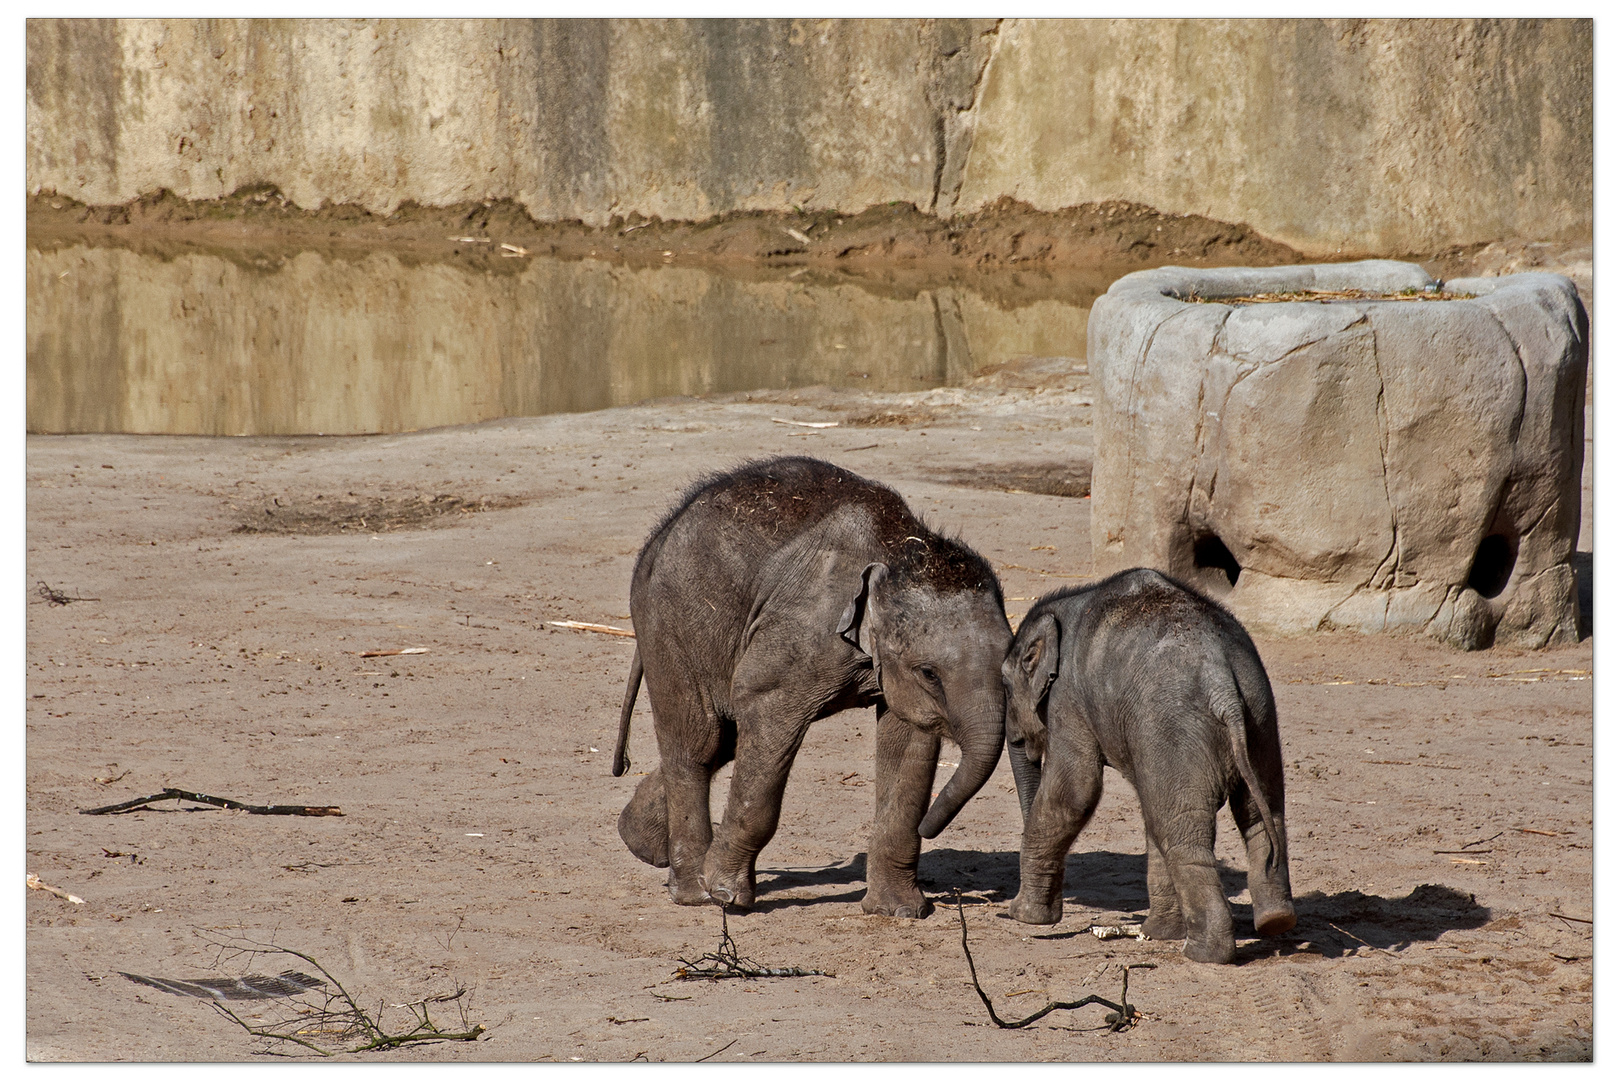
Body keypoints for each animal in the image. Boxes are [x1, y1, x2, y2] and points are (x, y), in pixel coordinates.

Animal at [609, 456, 1010, 919]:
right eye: (929, 672)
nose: (933, 829)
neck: (900, 548)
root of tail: (659, 534)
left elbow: (909, 740)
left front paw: (899, 912)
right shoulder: (798, 636)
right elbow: (761, 706)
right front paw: (727, 894)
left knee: (723, 740)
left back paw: (639, 842)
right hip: (674, 623)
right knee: (701, 741)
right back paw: (696, 893)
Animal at [1004, 569, 1296, 965]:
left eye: (1005, 685)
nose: (1020, 738)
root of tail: (1222, 685)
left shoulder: (1068, 698)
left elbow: (1075, 791)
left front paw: (1023, 916)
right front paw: (1158, 932)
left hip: (1176, 725)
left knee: (1181, 832)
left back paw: (1205, 954)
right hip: (1260, 717)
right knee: (1257, 815)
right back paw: (1274, 922)